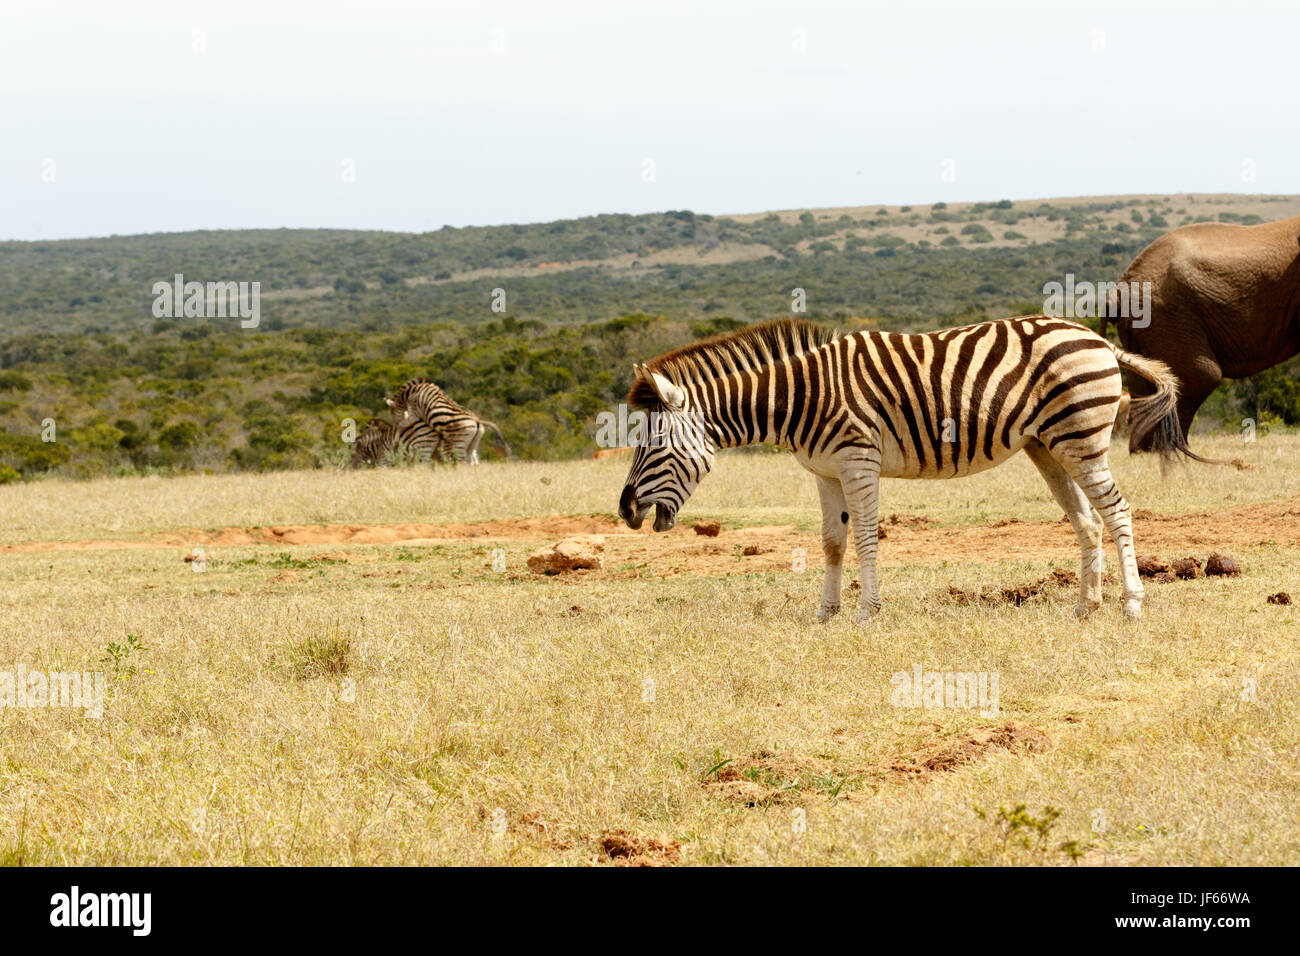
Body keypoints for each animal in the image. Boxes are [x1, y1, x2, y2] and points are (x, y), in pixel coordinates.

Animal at [617, 316, 1198, 623]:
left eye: (653, 443)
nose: (624, 511)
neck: (799, 398)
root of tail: (1098, 338)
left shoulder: (858, 459)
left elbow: (865, 537)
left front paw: (866, 611)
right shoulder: (825, 471)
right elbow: (832, 543)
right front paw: (825, 614)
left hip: (1081, 438)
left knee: (1117, 511)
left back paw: (1131, 604)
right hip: (1048, 445)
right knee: (1088, 520)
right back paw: (1085, 606)